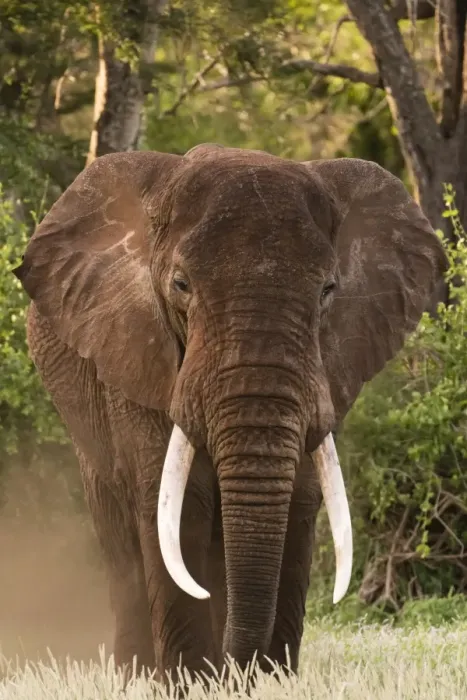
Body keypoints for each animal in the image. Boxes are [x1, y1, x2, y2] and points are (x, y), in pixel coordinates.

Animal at [13, 144, 446, 680]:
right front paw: (190, 682)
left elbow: (299, 497)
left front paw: (267, 681)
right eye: (180, 285)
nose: (239, 667)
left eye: (328, 291)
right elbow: (179, 505)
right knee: (120, 536)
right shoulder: (138, 357)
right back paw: (136, 675)